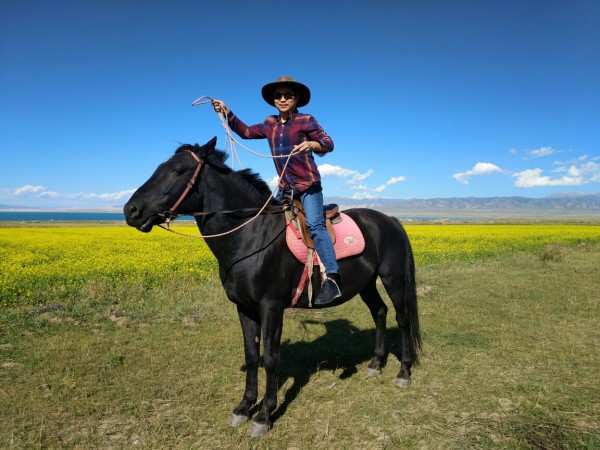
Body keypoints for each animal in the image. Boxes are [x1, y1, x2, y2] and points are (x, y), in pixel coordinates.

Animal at [123, 137, 420, 436]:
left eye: (177, 170)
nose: (130, 210)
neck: (251, 236)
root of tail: (391, 221)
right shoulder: (244, 308)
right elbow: (252, 354)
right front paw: (243, 408)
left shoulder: (272, 308)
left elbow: (270, 358)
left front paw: (264, 415)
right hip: (366, 284)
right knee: (380, 312)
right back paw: (375, 364)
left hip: (393, 279)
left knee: (402, 318)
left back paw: (404, 373)